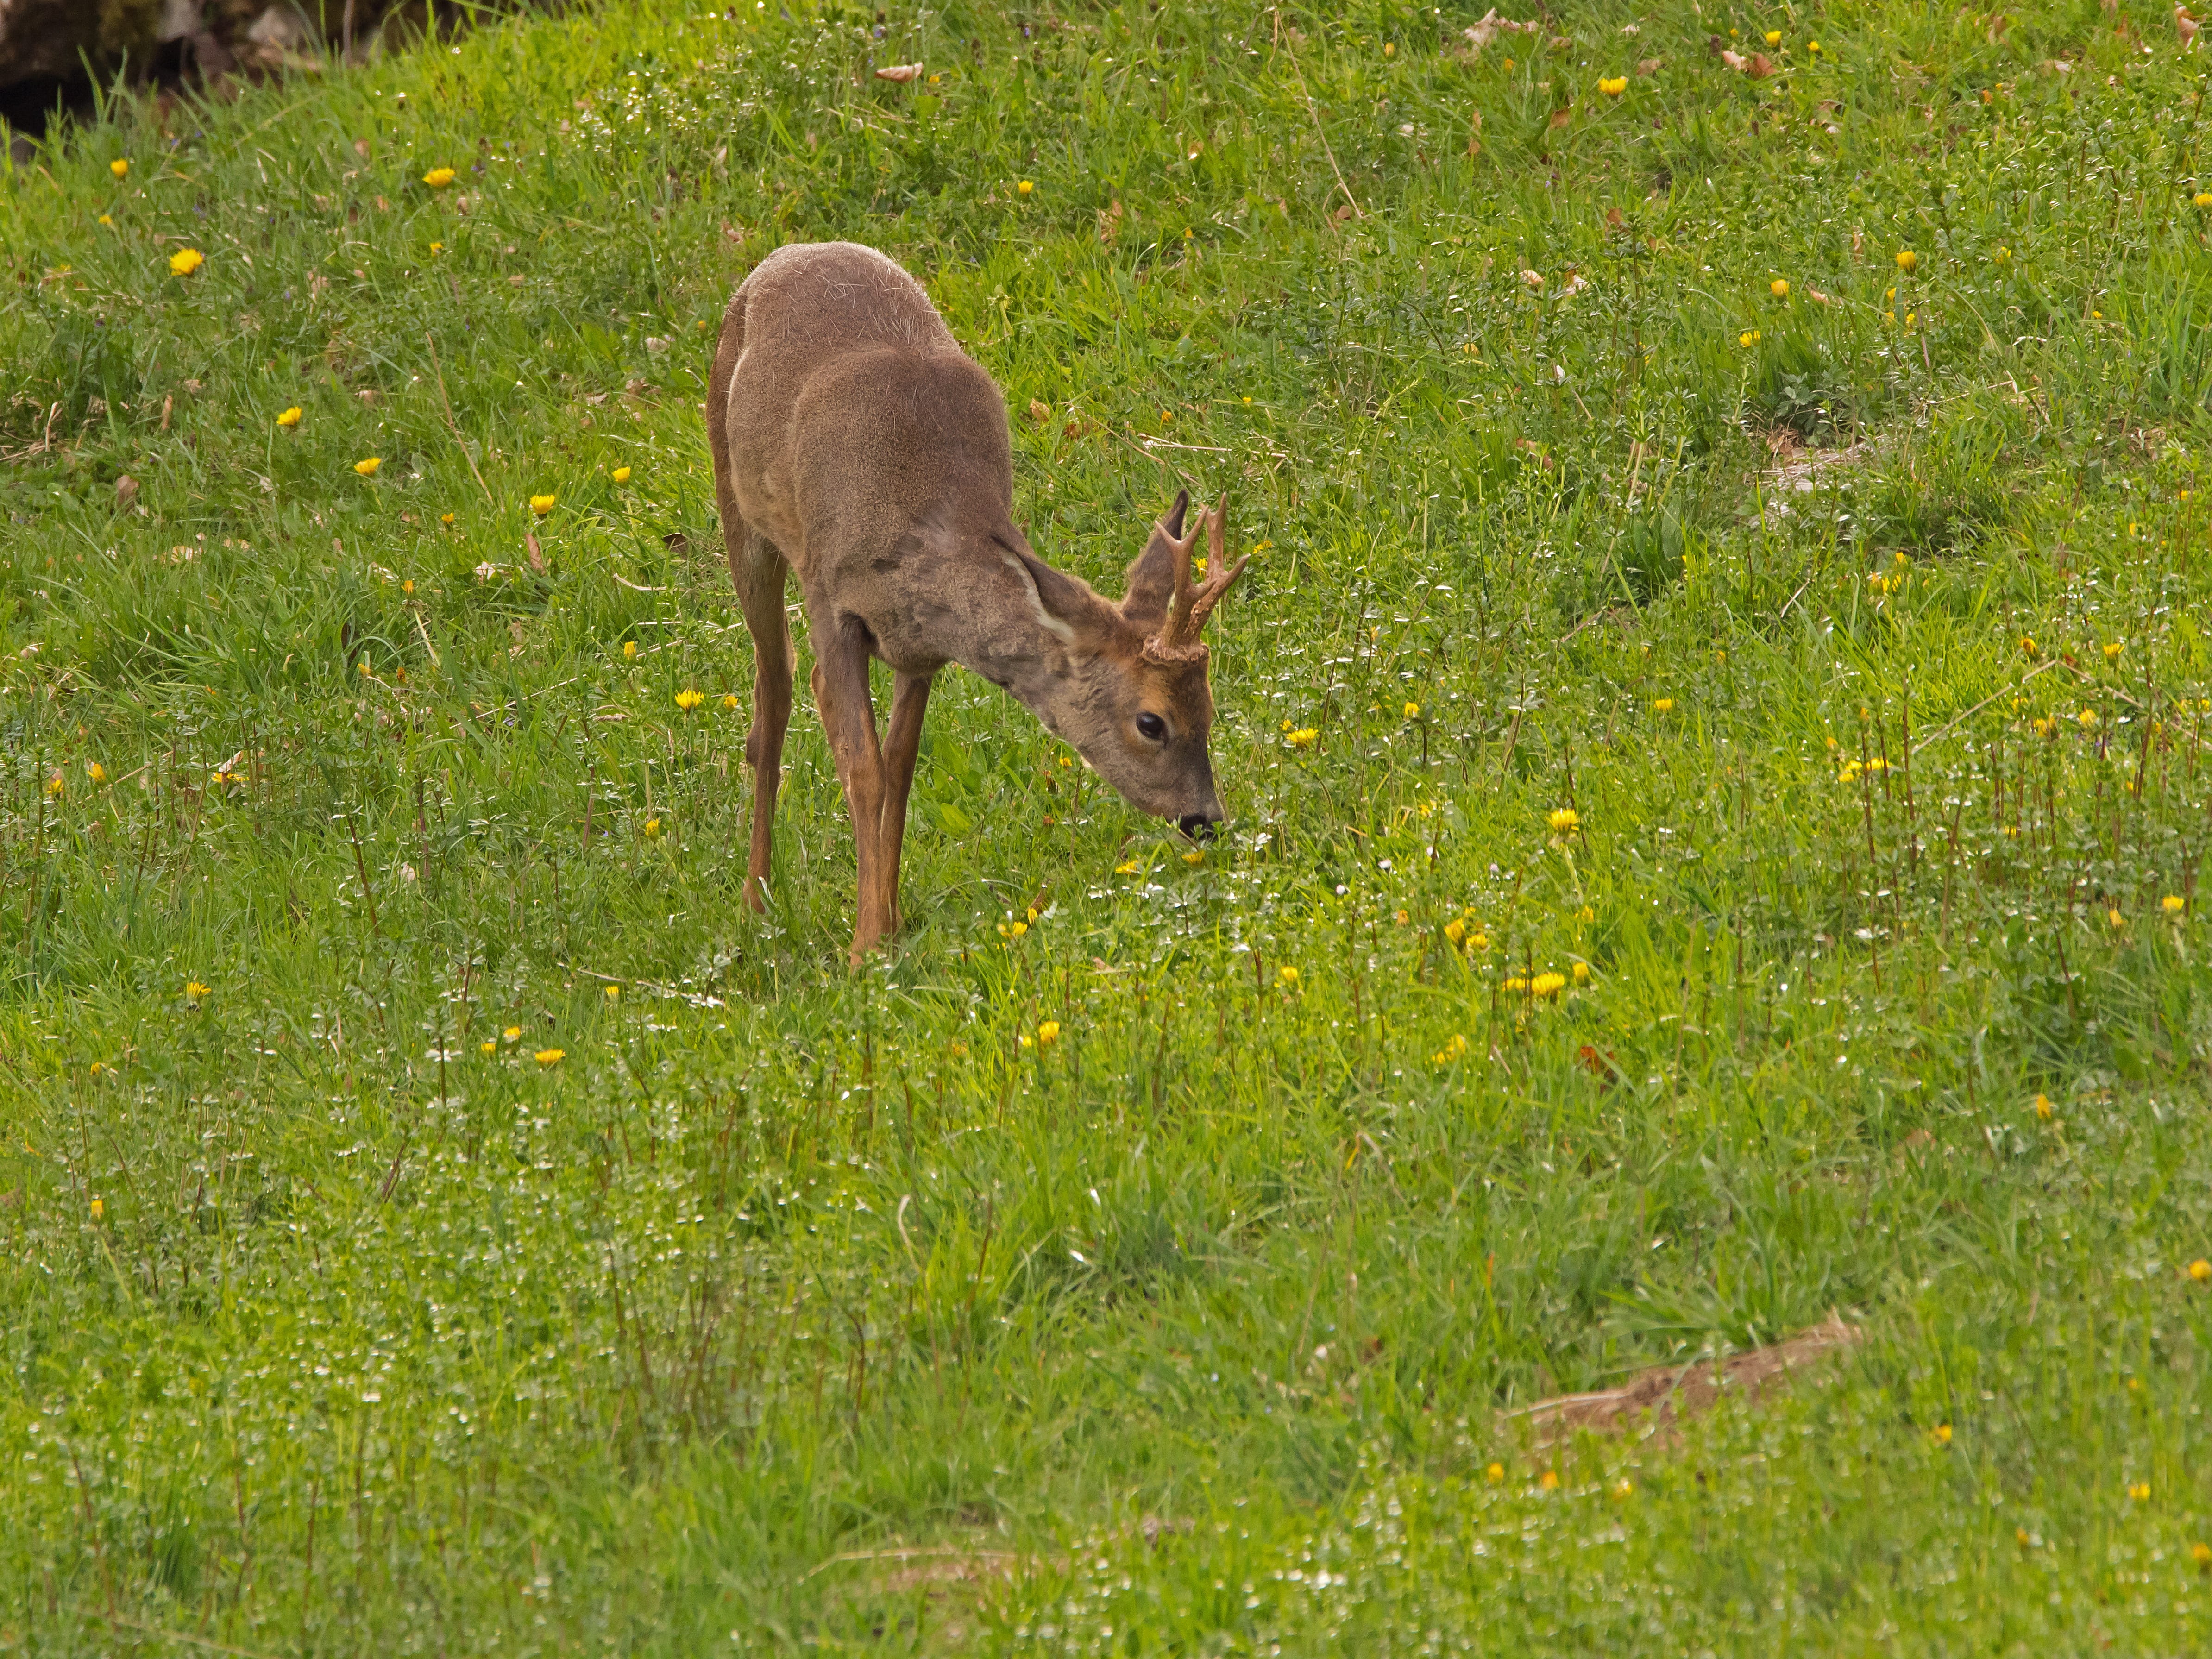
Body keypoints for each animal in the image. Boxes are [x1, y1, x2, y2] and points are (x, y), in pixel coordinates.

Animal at [707, 241, 1249, 965]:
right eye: (1151, 722)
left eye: (1210, 707)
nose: (1206, 818)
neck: (928, 530)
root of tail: (786, 254)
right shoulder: (831, 597)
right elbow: (863, 767)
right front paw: (865, 948)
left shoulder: (920, 652)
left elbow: (899, 769)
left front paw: (890, 920)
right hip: (740, 509)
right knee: (774, 692)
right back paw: (755, 901)